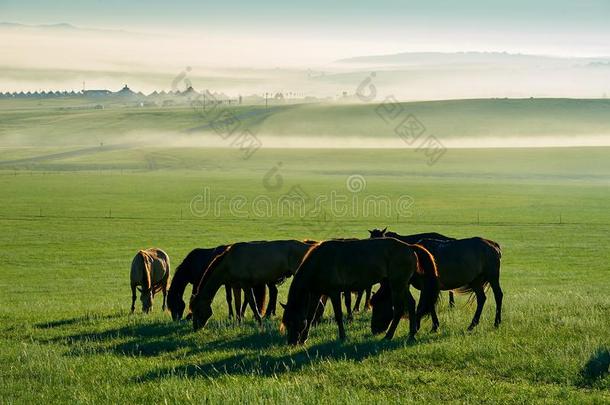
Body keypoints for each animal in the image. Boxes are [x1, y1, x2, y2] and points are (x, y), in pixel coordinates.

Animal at [280, 238, 436, 346]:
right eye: (286, 323)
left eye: (293, 322)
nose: (291, 342)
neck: (320, 262)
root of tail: (410, 247)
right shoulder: (315, 293)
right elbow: (310, 316)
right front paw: (304, 339)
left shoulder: (334, 292)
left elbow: (338, 315)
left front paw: (342, 336)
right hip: (402, 285)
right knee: (411, 303)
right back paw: (412, 333)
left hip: (397, 284)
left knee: (398, 309)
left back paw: (388, 336)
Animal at [368, 235, 502, 332]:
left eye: (378, 305)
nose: (374, 329)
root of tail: (493, 245)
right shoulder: (429, 288)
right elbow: (431, 305)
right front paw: (434, 326)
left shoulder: (427, 286)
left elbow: (423, 306)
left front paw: (417, 325)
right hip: (475, 280)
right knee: (481, 298)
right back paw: (472, 324)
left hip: (492, 276)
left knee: (498, 295)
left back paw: (497, 322)